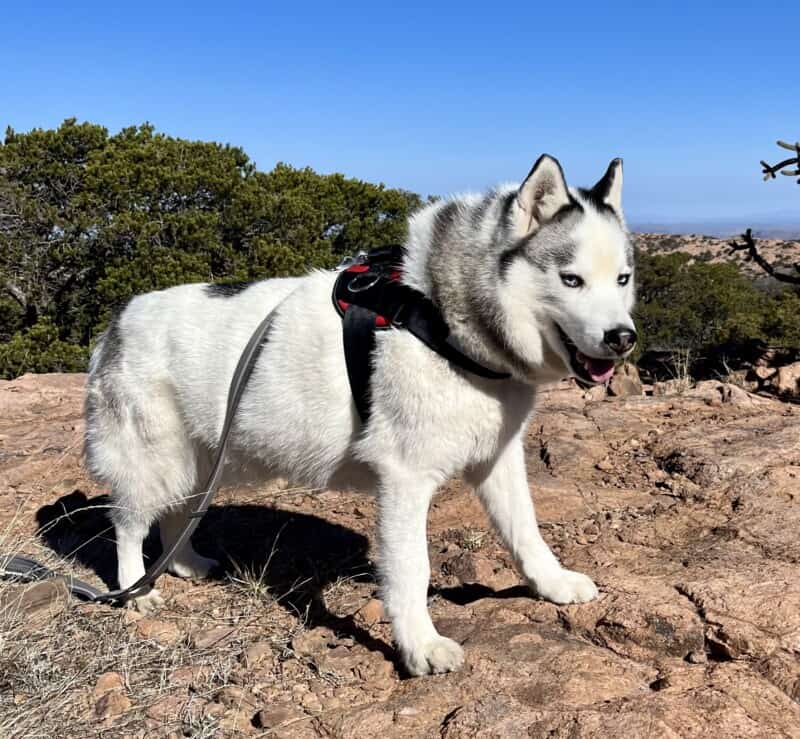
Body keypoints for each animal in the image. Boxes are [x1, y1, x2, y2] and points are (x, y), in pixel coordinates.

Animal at [86, 155, 636, 676]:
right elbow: (412, 569)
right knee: (129, 525)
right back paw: (137, 589)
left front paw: (553, 583)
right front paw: (420, 646)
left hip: (199, 461)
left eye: (622, 279)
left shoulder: (497, 460)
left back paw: (183, 563)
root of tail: (119, 318)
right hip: (153, 459)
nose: (623, 338)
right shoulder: (405, 479)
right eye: (571, 280)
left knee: (178, 513)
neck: (440, 317)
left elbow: (526, 531)